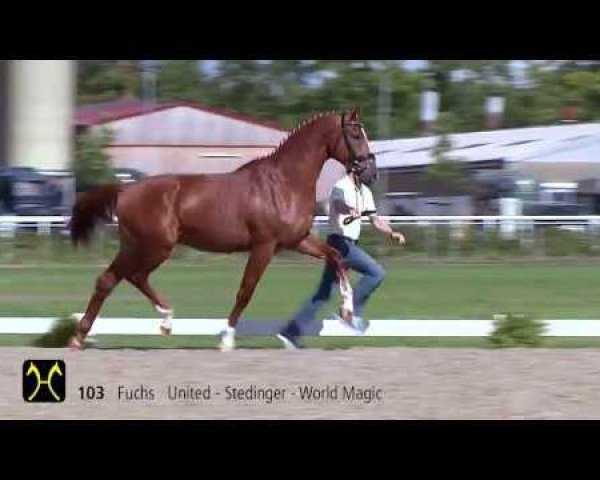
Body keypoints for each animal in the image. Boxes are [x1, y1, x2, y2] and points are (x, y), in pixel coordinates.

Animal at [69, 108, 376, 348]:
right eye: (356, 135)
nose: (371, 173)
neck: (283, 182)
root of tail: (125, 189)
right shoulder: (264, 246)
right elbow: (246, 291)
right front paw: (226, 338)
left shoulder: (297, 240)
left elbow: (337, 258)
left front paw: (347, 311)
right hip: (153, 247)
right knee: (118, 278)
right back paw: (87, 335)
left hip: (141, 247)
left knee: (125, 278)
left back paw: (154, 322)